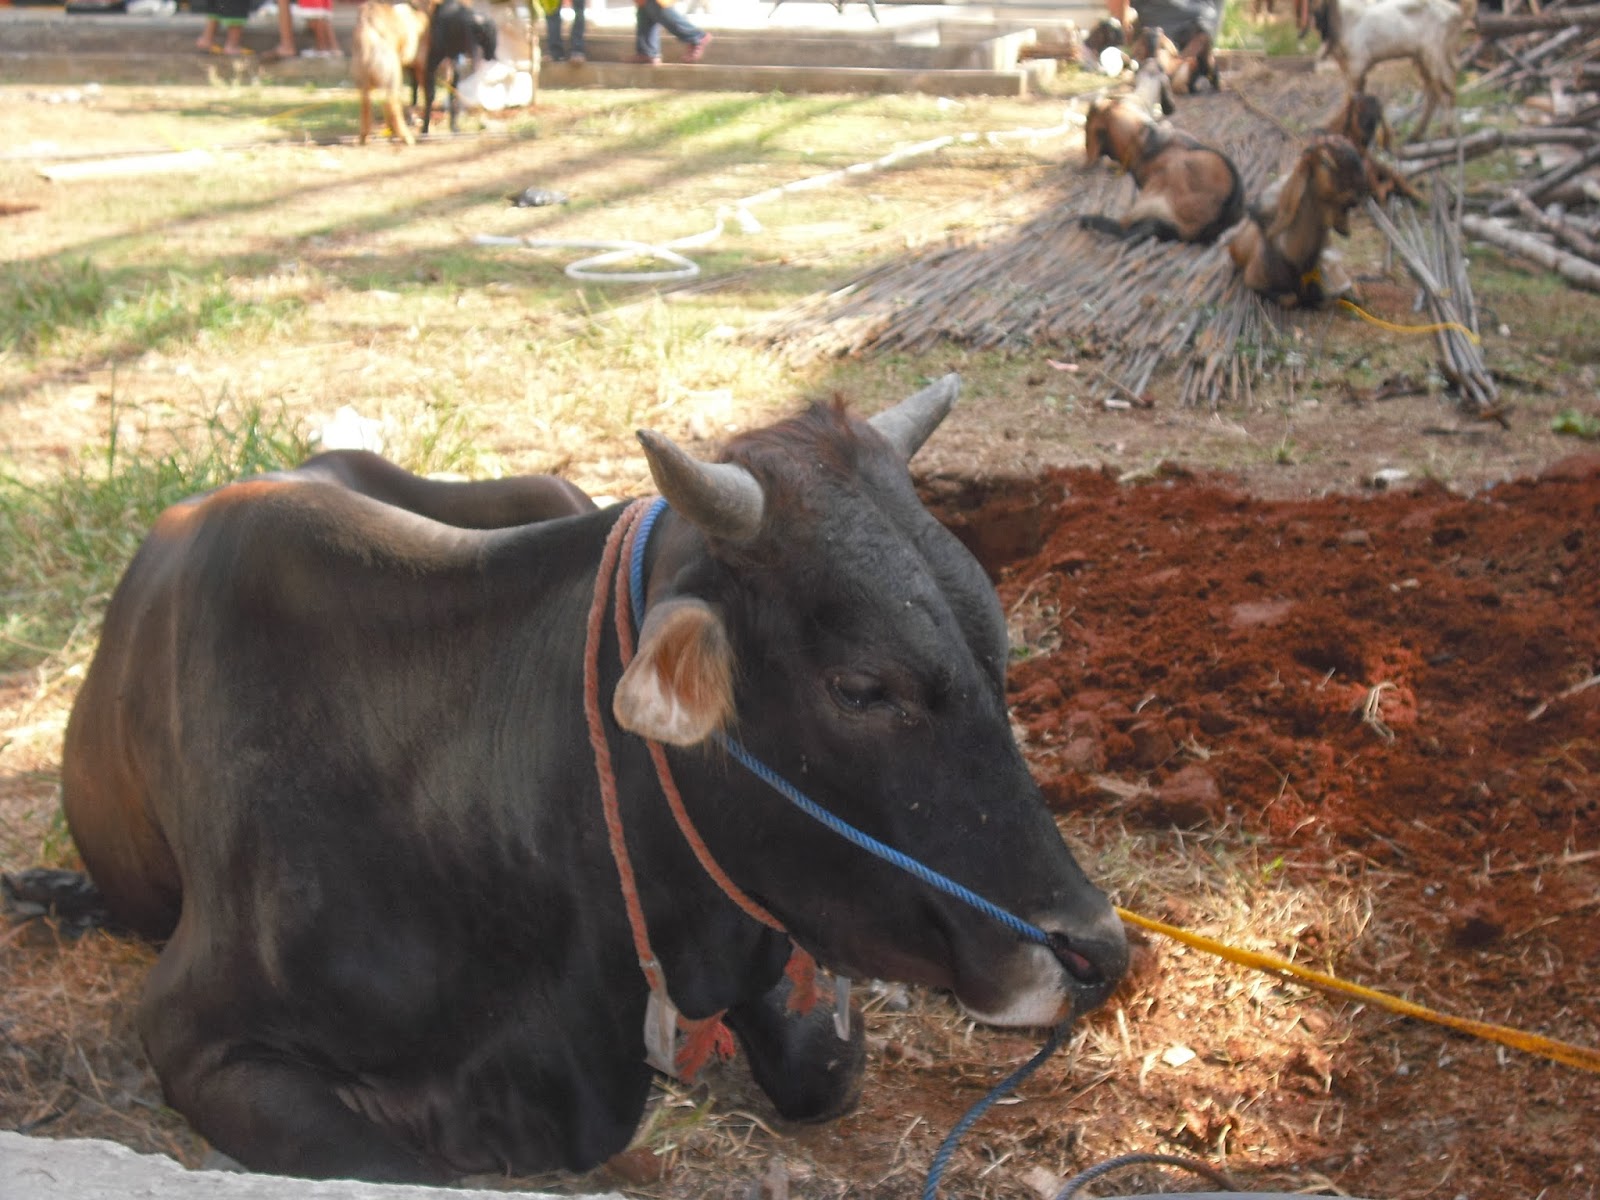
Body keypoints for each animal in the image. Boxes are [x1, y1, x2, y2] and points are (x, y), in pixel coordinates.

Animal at [1299, 0, 1472, 140]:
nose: (1315, 18)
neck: (1342, 19)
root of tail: (1456, 12)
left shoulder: (1357, 66)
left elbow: (1351, 99)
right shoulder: (1347, 67)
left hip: (1434, 54)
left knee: (1446, 89)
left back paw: (1445, 131)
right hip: (1423, 58)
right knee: (1435, 91)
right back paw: (1417, 134)